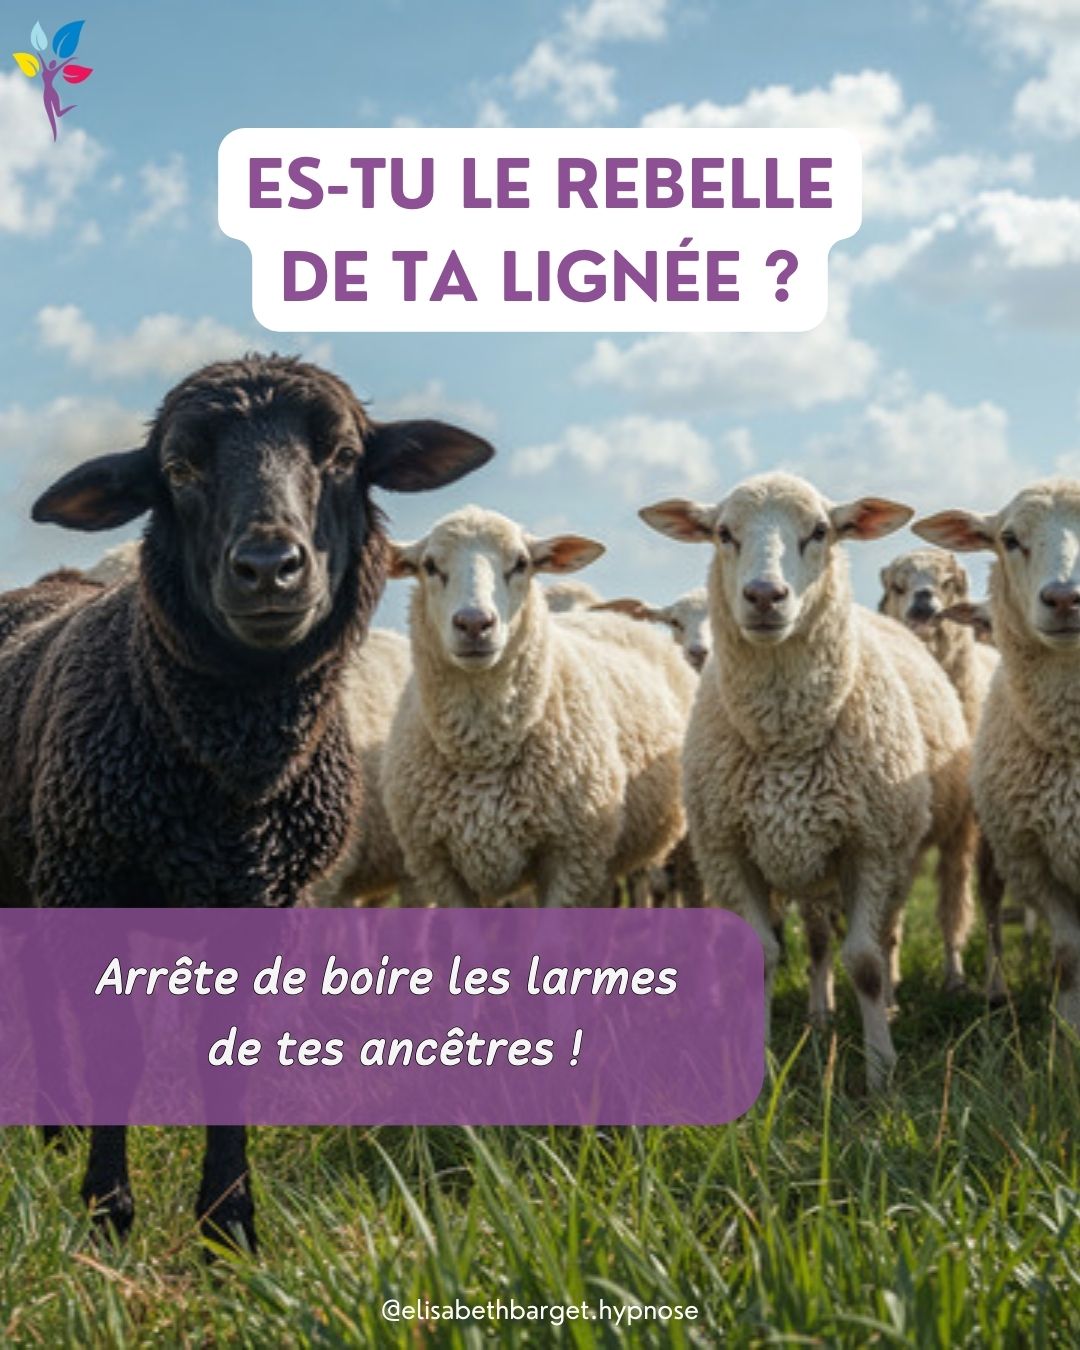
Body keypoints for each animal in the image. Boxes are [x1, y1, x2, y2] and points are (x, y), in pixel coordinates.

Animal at [0, 354, 493, 1250]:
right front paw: (108, 1213)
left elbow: (225, 1051)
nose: (268, 566)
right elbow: (114, 1047)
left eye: (342, 456)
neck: (234, 774)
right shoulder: (91, 879)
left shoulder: (267, 901)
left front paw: (228, 1226)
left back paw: (56, 1128)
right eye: (178, 469)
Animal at [382, 506, 696, 908]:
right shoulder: (438, 866)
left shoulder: (571, 857)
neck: (483, 752)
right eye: (429, 565)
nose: (474, 623)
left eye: (521, 563)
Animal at [640, 473, 971, 1089]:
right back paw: (820, 1015)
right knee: (818, 942)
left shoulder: (870, 847)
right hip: (807, 861)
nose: (764, 596)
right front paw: (763, 1066)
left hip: (893, 851)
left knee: (884, 936)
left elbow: (865, 961)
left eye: (820, 531)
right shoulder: (729, 850)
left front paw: (881, 1071)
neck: (785, 739)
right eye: (723, 533)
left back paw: (885, 1005)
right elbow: (764, 955)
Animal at [914, 479, 1080, 1036]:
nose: (1065, 599)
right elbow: (1068, 954)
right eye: (1008, 539)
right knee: (988, 908)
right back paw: (995, 992)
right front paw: (1067, 1034)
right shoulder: (1033, 857)